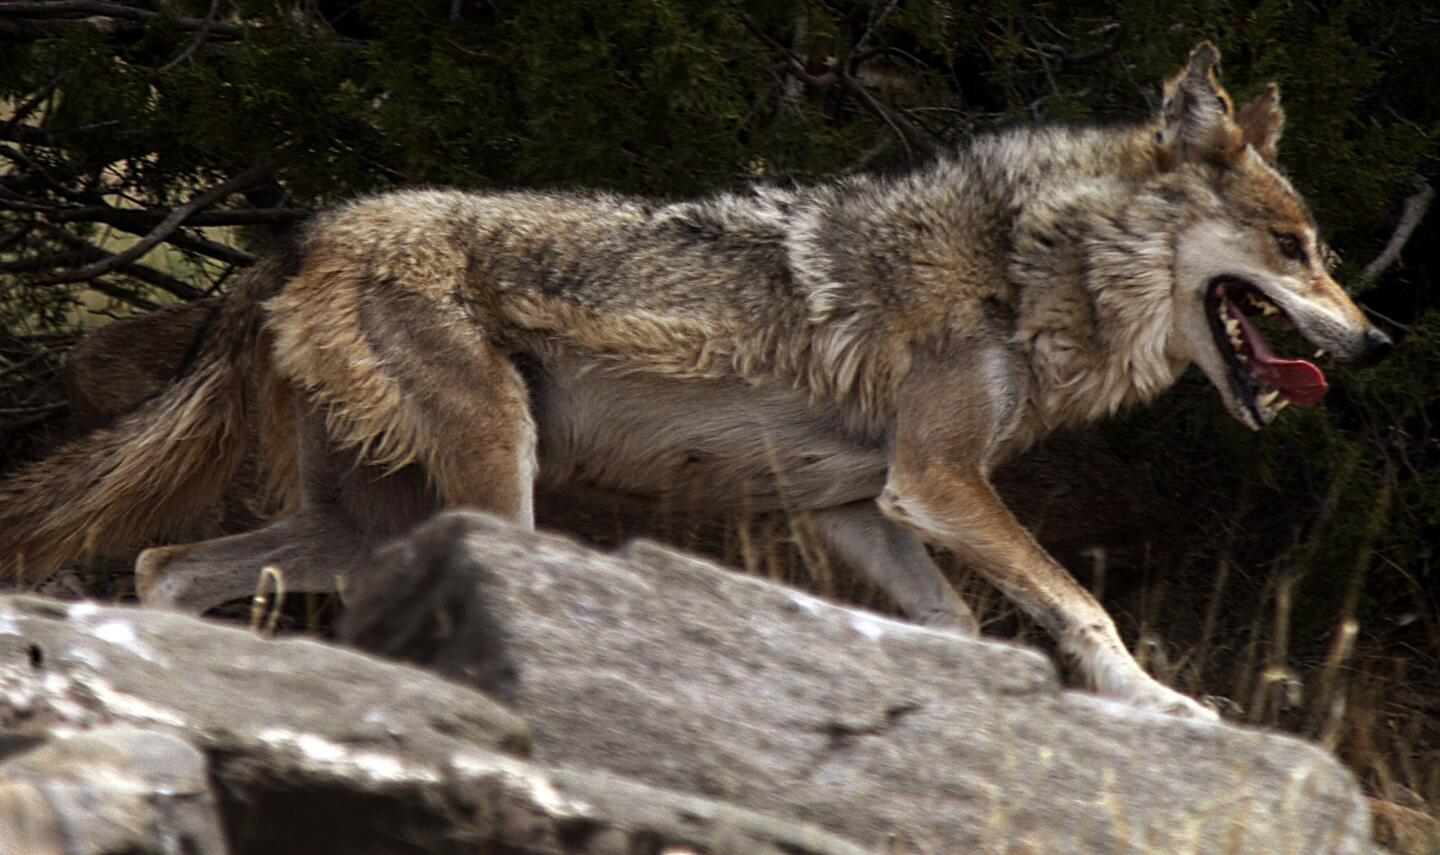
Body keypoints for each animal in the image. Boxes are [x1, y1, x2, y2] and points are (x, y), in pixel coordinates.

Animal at [2, 43, 1393, 716]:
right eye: (1297, 248)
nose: (1376, 343)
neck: (1021, 264)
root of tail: (299, 236)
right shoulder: (936, 484)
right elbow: (1086, 608)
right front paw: (1163, 704)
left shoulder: (862, 506)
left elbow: (954, 628)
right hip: (489, 485)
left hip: (364, 521)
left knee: (163, 563)